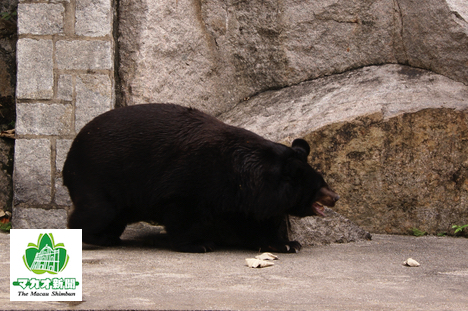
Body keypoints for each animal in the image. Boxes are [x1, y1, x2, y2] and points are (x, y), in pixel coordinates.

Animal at [63, 104, 340, 254]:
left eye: (323, 181)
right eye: (319, 187)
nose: (336, 197)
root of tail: (69, 157)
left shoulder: (244, 199)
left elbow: (255, 222)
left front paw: (287, 244)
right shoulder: (197, 178)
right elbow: (184, 212)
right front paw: (199, 244)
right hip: (100, 178)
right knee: (97, 211)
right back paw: (99, 237)